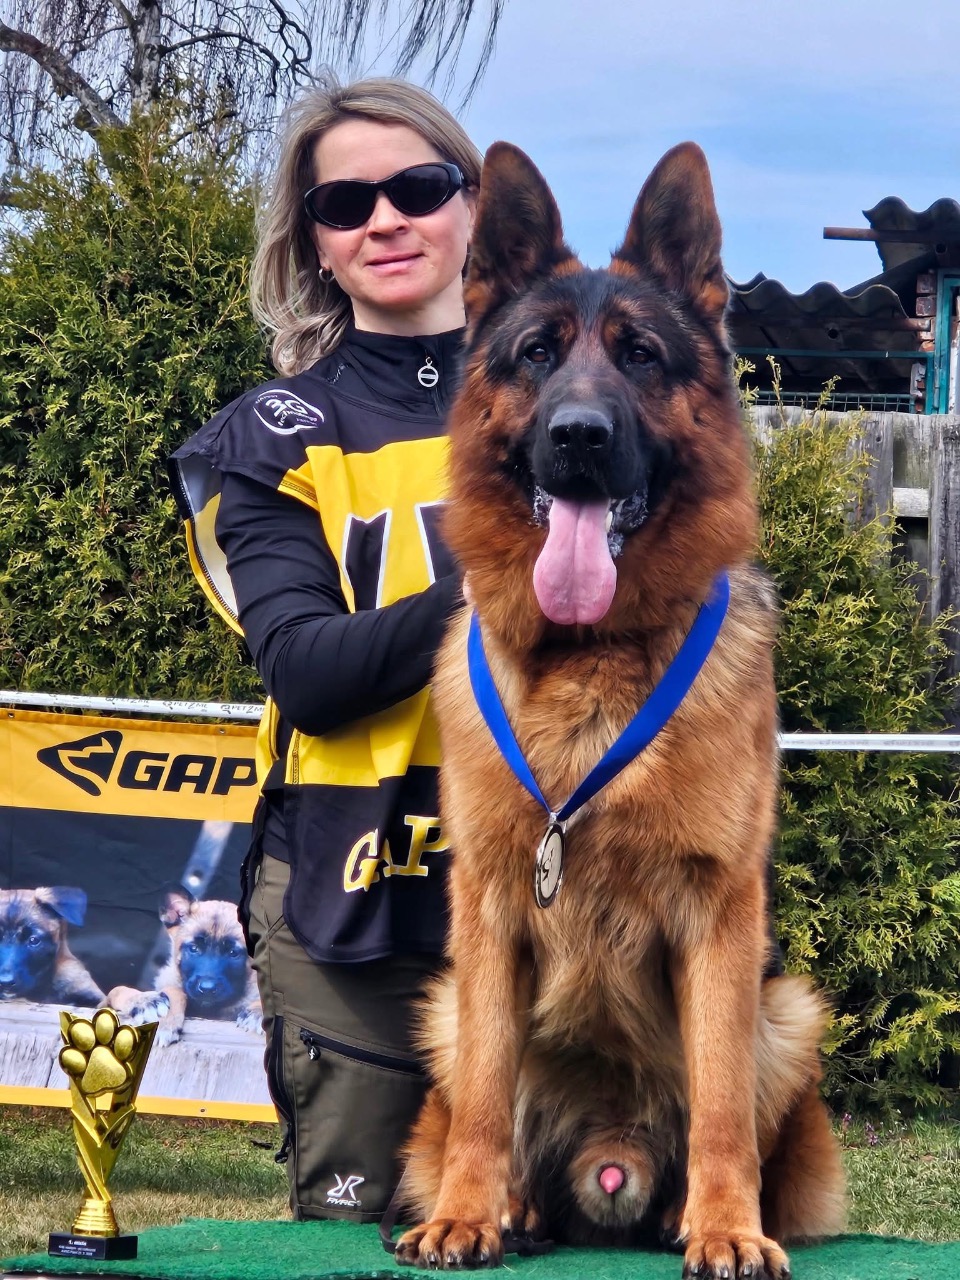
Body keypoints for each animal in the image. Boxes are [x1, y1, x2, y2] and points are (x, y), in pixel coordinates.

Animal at [107, 887, 262, 1046]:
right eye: (194, 948)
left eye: (233, 953)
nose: (207, 989)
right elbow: (118, 989)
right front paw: (152, 1006)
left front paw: (258, 1011)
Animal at [395, 142, 845, 1278]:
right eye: (537, 355)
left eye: (640, 355)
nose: (581, 437)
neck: (591, 659)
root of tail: (611, 1160)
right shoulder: (490, 911)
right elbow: (483, 1101)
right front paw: (465, 1212)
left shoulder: (719, 915)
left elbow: (720, 1099)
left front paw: (727, 1227)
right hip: (447, 1008)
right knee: (488, 1100)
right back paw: (511, 1206)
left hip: (789, 1012)